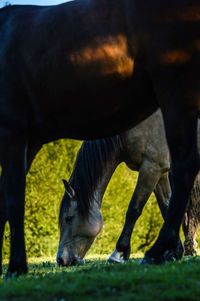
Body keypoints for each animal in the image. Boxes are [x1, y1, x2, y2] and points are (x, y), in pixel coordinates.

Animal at [56, 109, 200, 264]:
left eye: (69, 218)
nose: (61, 260)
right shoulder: (160, 174)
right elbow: (167, 208)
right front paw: (172, 252)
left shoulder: (151, 168)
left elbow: (133, 210)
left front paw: (119, 252)